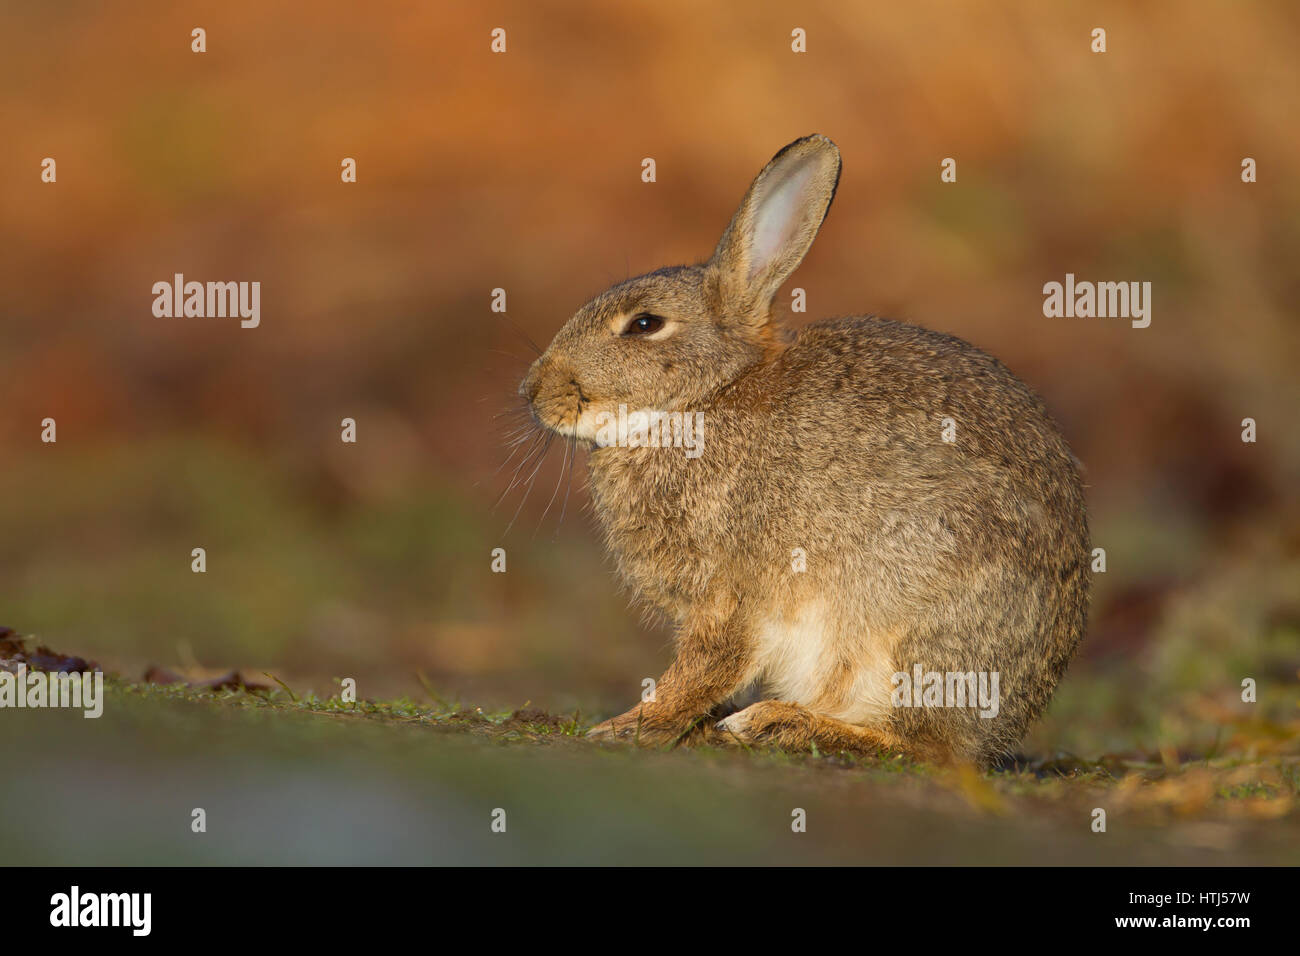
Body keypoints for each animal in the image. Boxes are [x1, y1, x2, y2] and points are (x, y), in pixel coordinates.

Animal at [517, 134, 1086, 764]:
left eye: (645, 324)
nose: (534, 392)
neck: (703, 399)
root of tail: (1009, 718)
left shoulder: (731, 593)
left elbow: (705, 666)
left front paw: (628, 726)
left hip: (907, 628)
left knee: (923, 746)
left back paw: (778, 723)